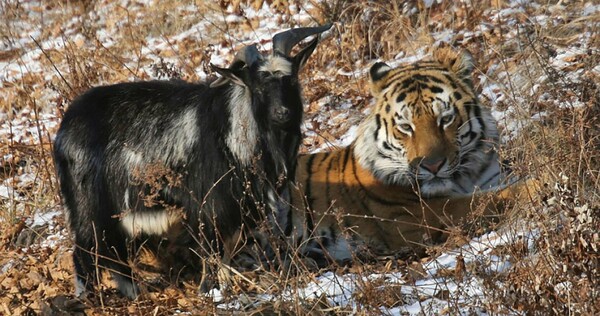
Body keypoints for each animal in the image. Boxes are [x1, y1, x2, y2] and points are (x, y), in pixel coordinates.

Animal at [53, 24, 330, 298]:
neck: (232, 129)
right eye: (259, 88)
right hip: (90, 209)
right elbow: (212, 254)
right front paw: (210, 292)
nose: (282, 113)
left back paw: (136, 295)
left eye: (291, 79)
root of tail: (64, 129)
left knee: (116, 256)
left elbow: (225, 255)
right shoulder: (208, 206)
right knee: (86, 254)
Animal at [270, 46, 536, 264]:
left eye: (445, 119)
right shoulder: (421, 215)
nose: (432, 166)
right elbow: (492, 199)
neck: (467, 177)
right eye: (406, 127)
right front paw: (538, 183)